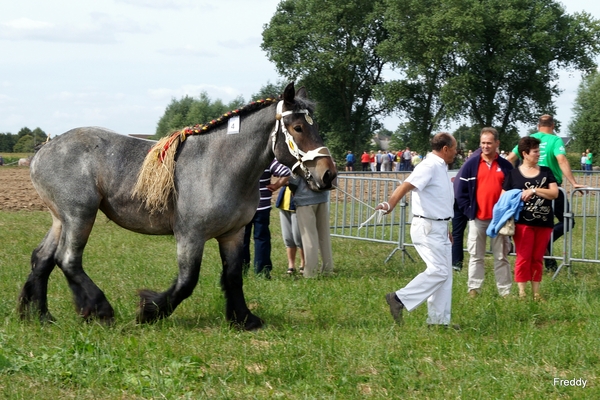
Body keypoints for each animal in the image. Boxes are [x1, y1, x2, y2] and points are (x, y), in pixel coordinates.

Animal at [17, 83, 338, 330]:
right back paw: (99, 309)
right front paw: (150, 311)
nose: (328, 175)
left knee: (43, 258)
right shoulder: (190, 235)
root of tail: (44, 149)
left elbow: (233, 277)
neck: (218, 165)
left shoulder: (232, 235)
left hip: (61, 219)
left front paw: (244, 318)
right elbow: (187, 281)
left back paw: (41, 315)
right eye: (298, 127)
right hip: (80, 215)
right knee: (68, 259)